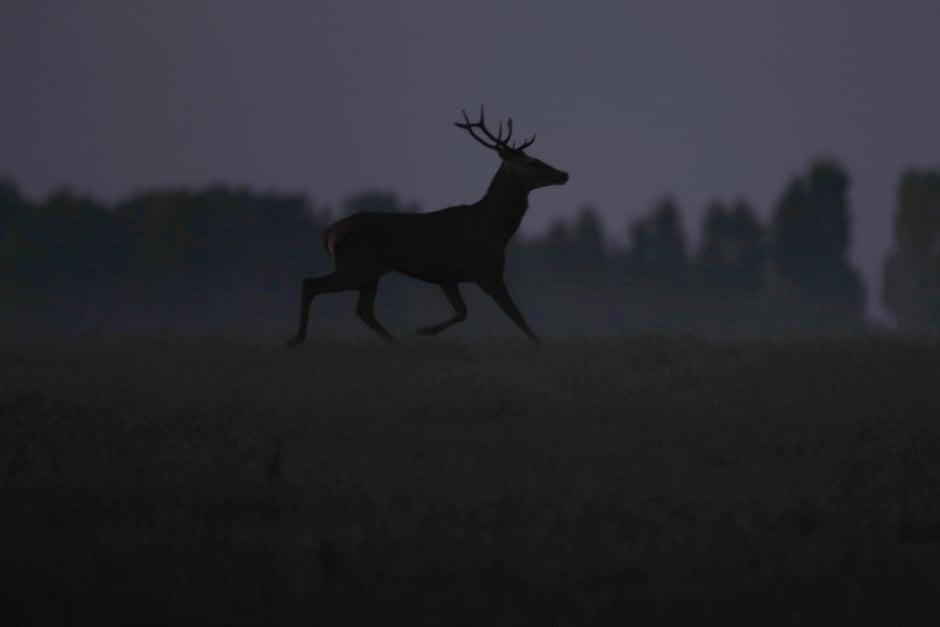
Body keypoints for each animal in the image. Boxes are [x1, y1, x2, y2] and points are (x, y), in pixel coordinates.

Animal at [284, 106, 564, 344]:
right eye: (531, 163)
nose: (564, 174)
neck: (496, 229)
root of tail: (329, 233)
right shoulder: (488, 272)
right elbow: (517, 317)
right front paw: (540, 345)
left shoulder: (447, 276)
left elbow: (463, 312)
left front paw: (423, 330)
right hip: (356, 266)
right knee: (311, 284)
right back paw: (297, 339)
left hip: (369, 272)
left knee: (363, 310)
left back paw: (395, 343)